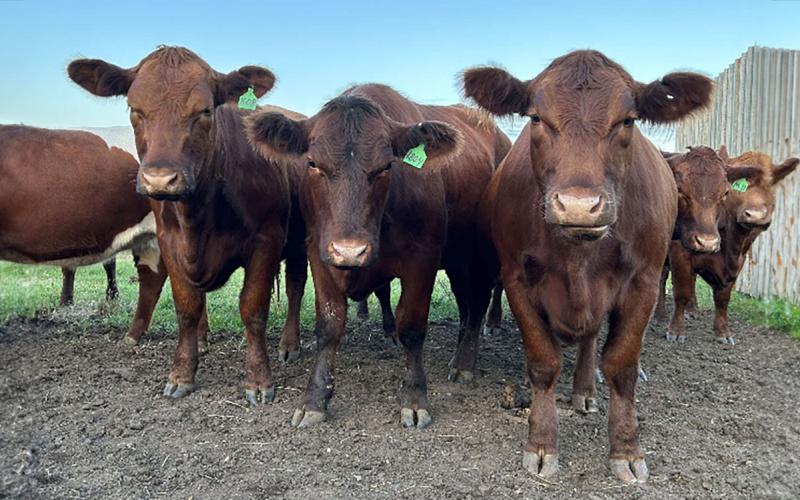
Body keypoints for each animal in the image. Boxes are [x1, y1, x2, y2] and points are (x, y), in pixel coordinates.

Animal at [67, 46, 308, 405]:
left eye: (204, 110)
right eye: (134, 108)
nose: (160, 179)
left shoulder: (266, 241)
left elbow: (253, 308)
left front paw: (258, 380)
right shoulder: (169, 242)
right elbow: (187, 308)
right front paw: (182, 373)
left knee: (295, 287)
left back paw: (289, 345)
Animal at [247, 83, 511, 428]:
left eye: (386, 166)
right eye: (313, 163)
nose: (350, 249)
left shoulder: (422, 259)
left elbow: (411, 327)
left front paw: (414, 400)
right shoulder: (319, 252)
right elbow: (329, 325)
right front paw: (315, 400)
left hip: (477, 255)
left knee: (477, 302)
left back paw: (464, 363)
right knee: (467, 306)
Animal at [463, 50, 712, 482]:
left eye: (627, 120)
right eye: (535, 118)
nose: (578, 205)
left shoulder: (645, 283)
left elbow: (621, 365)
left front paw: (626, 450)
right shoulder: (517, 280)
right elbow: (543, 362)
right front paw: (541, 444)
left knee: (591, 340)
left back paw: (584, 390)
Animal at [665, 147, 798, 344]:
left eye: (770, 183)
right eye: (737, 188)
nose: (756, 215)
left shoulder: (738, 261)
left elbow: (723, 298)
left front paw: (723, 332)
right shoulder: (680, 254)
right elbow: (681, 292)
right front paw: (676, 331)